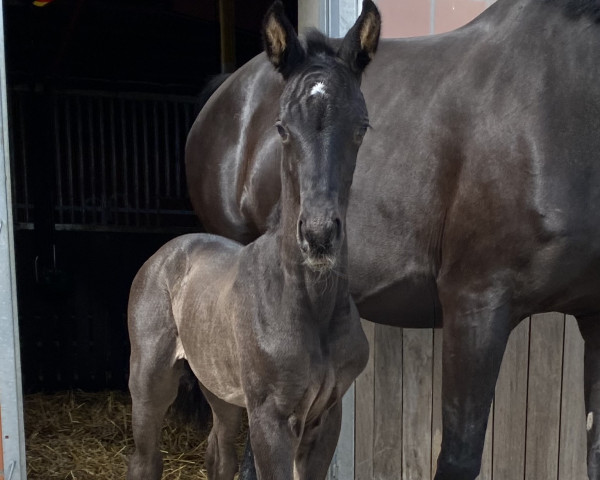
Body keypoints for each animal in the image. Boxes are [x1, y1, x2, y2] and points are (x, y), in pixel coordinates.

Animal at [126, 1, 380, 478]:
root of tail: (170, 252)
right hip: (150, 380)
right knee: (144, 458)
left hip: (220, 389)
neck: (309, 304)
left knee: (218, 452)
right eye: (281, 127)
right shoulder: (270, 418)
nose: (318, 236)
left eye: (362, 126)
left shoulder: (327, 415)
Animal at [185, 0, 600, 478]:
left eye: (363, 128)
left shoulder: (593, 316)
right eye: (281, 129)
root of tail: (226, 91)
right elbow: (458, 455)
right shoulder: (477, 305)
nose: (319, 234)